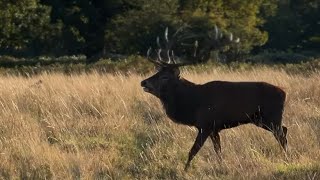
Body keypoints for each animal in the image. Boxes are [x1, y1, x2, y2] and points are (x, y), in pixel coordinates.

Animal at [140, 26, 288, 169]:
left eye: (165, 77)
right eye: (157, 72)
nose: (143, 82)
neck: (192, 104)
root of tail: (284, 93)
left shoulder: (207, 124)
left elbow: (193, 151)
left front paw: (185, 170)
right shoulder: (214, 129)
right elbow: (218, 150)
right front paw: (221, 166)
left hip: (272, 117)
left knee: (281, 135)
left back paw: (286, 159)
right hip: (260, 120)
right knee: (285, 130)